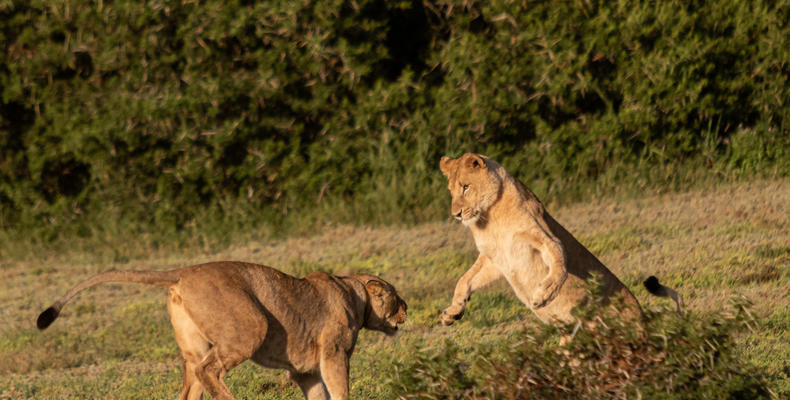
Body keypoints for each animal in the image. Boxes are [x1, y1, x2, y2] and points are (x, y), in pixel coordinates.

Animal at [37, 260, 408, 400]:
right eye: (395, 295)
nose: (408, 308)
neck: (354, 291)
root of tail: (184, 271)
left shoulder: (304, 371)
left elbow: (319, 395)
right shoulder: (333, 354)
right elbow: (340, 390)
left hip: (193, 349)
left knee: (191, 386)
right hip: (251, 328)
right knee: (210, 371)